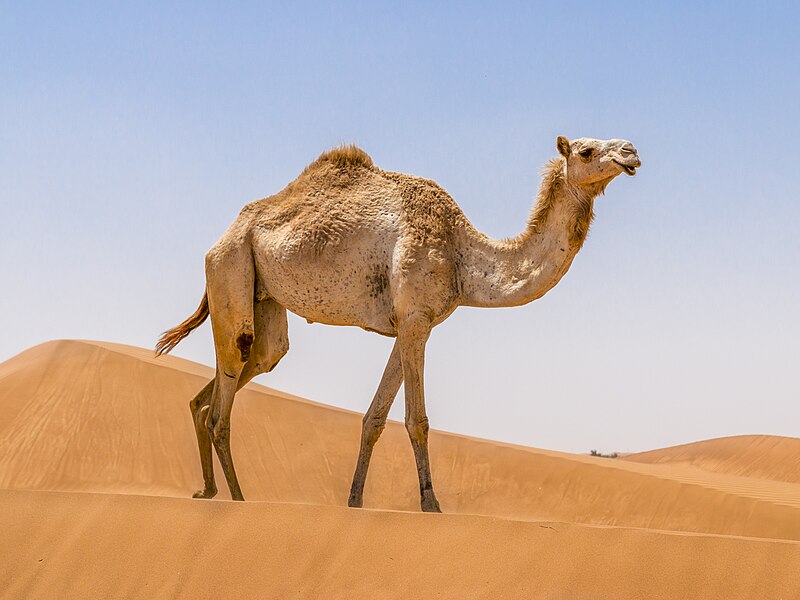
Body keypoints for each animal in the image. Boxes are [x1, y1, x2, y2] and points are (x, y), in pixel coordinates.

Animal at [158, 135, 644, 510]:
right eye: (585, 150)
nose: (632, 151)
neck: (462, 255)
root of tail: (223, 235)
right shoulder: (415, 319)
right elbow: (417, 420)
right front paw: (431, 504)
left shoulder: (409, 323)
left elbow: (374, 418)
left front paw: (354, 501)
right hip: (230, 267)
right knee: (227, 387)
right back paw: (239, 499)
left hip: (264, 297)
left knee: (251, 364)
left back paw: (207, 490)